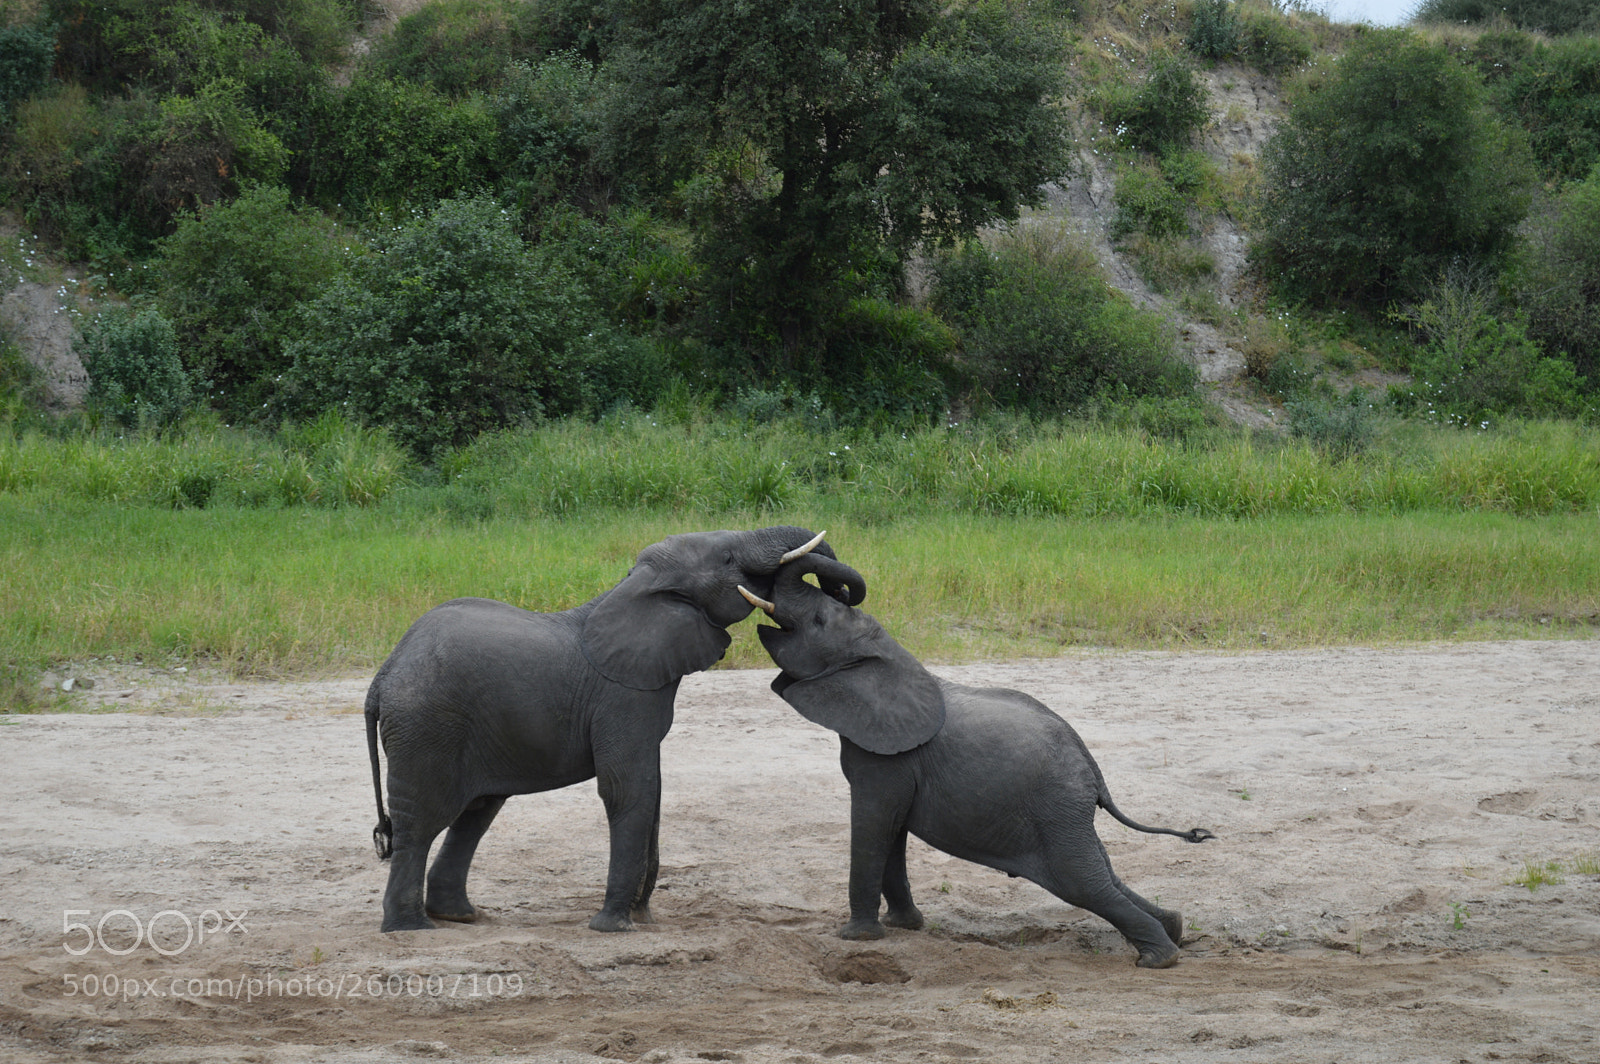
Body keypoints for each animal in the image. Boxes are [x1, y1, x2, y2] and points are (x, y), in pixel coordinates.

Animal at [365, 526, 867, 934]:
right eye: (726, 559)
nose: (840, 594)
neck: (632, 585)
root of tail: (384, 673)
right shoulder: (623, 695)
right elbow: (629, 789)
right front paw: (614, 926)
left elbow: (654, 791)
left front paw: (643, 919)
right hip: (426, 727)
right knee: (422, 821)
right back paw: (411, 927)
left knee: (476, 813)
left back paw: (459, 916)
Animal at [740, 554, 1214, 969]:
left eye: (820, 621)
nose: (838, 584)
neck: (886, 651)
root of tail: (1094, 772)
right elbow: (892, 832)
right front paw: (906, 927)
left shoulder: (886, 760)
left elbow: (874, 825)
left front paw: (856, 938)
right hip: (1065, 815)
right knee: (1102, 875)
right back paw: (1173, 930)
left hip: (1056, 809)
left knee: (1083, 883)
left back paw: (1159, 959)